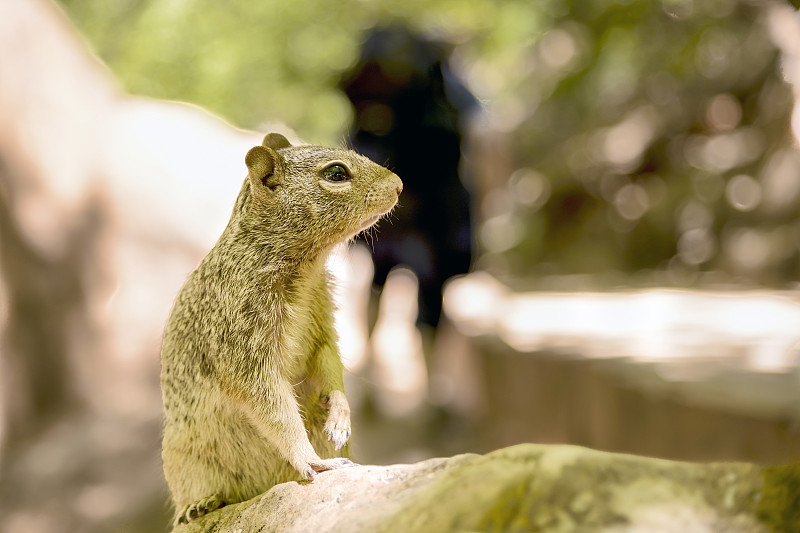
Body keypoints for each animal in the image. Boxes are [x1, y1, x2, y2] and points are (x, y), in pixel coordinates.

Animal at [160, 133, 404, 524]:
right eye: (336, 173)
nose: (398, 185)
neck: (307, 267)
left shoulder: (322, 320)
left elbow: (330, 360)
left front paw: (340, 413)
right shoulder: (245, 348)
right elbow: (275, 410)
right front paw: (312, 461)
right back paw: (201, 504)